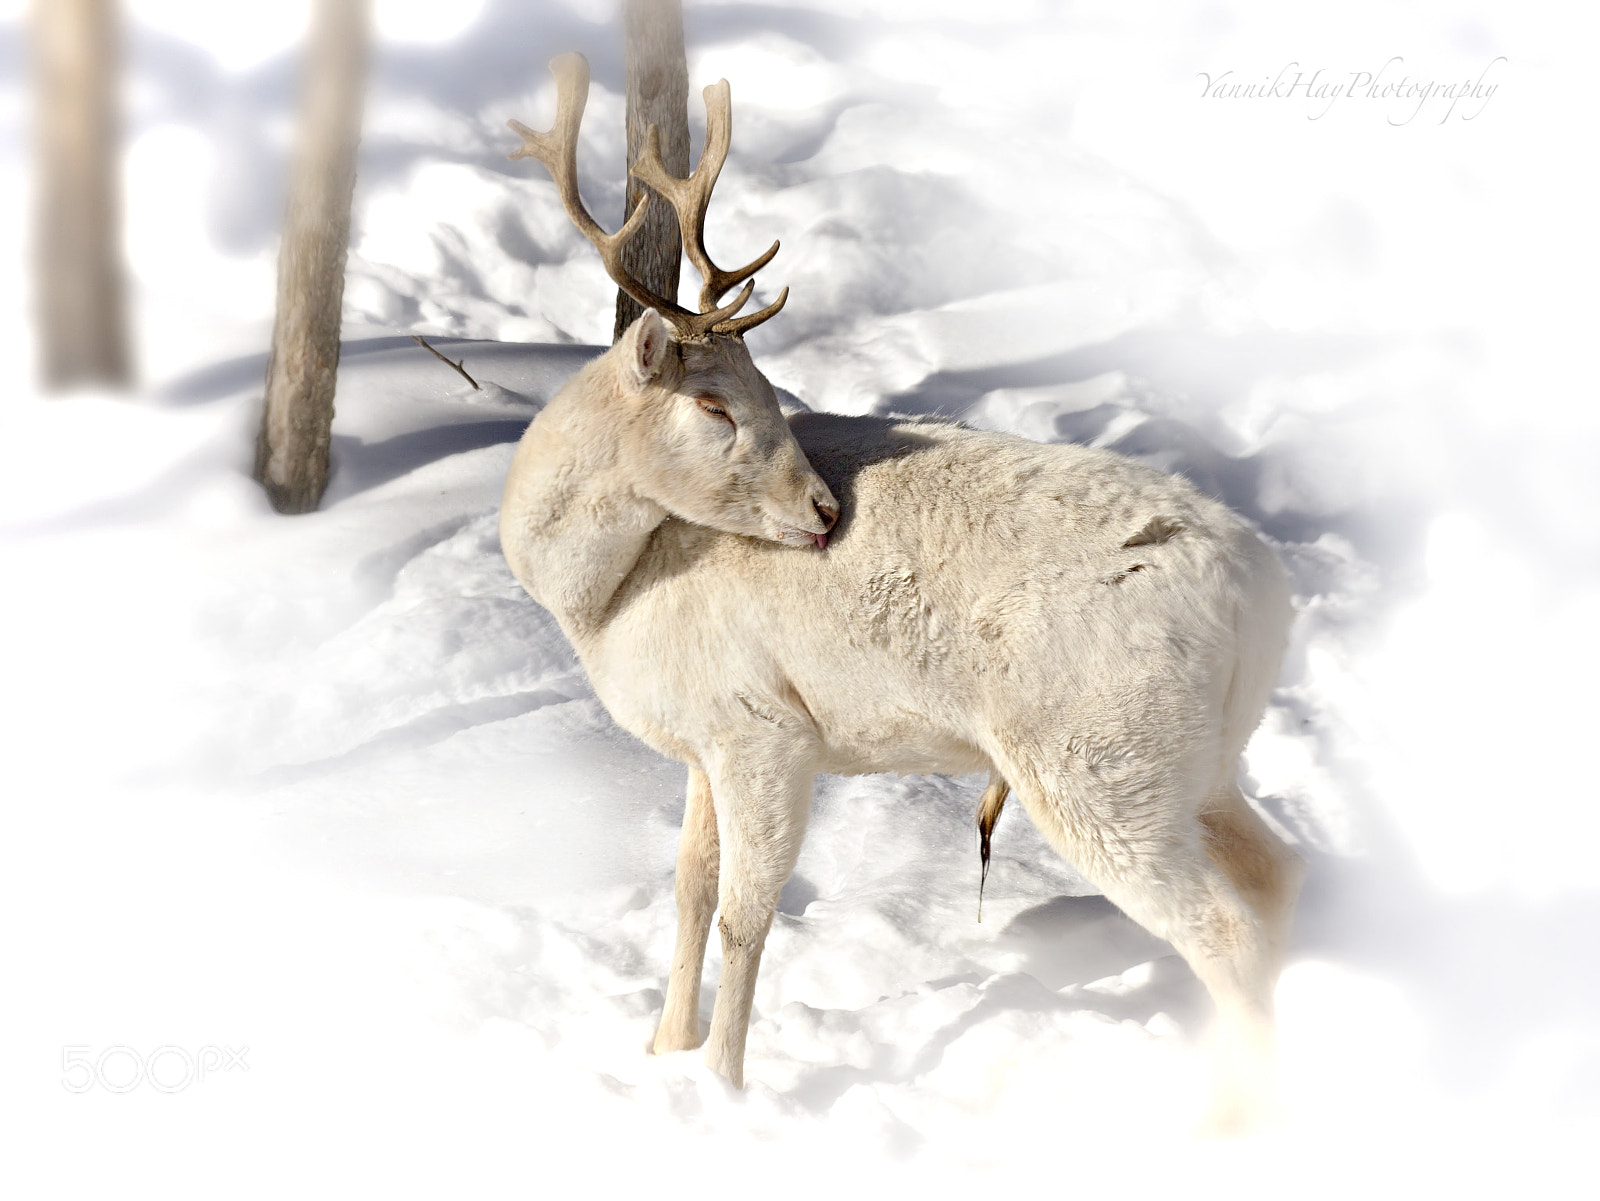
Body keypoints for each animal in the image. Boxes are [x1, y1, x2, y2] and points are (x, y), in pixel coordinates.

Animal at [499, 53, 1304, 1122]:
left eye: (766, 390)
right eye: (715, 402)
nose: (823, 508)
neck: (605, 599)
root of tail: (1260, 596)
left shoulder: (767, 730)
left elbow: (745, 915)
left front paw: (723, 1086)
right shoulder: (703, 740)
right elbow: (689, 888)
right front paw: (661, 1049)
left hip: (1097, 767)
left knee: (1222, 926)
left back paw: (1226, 1115)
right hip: (1196, 760)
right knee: (1281, 872)